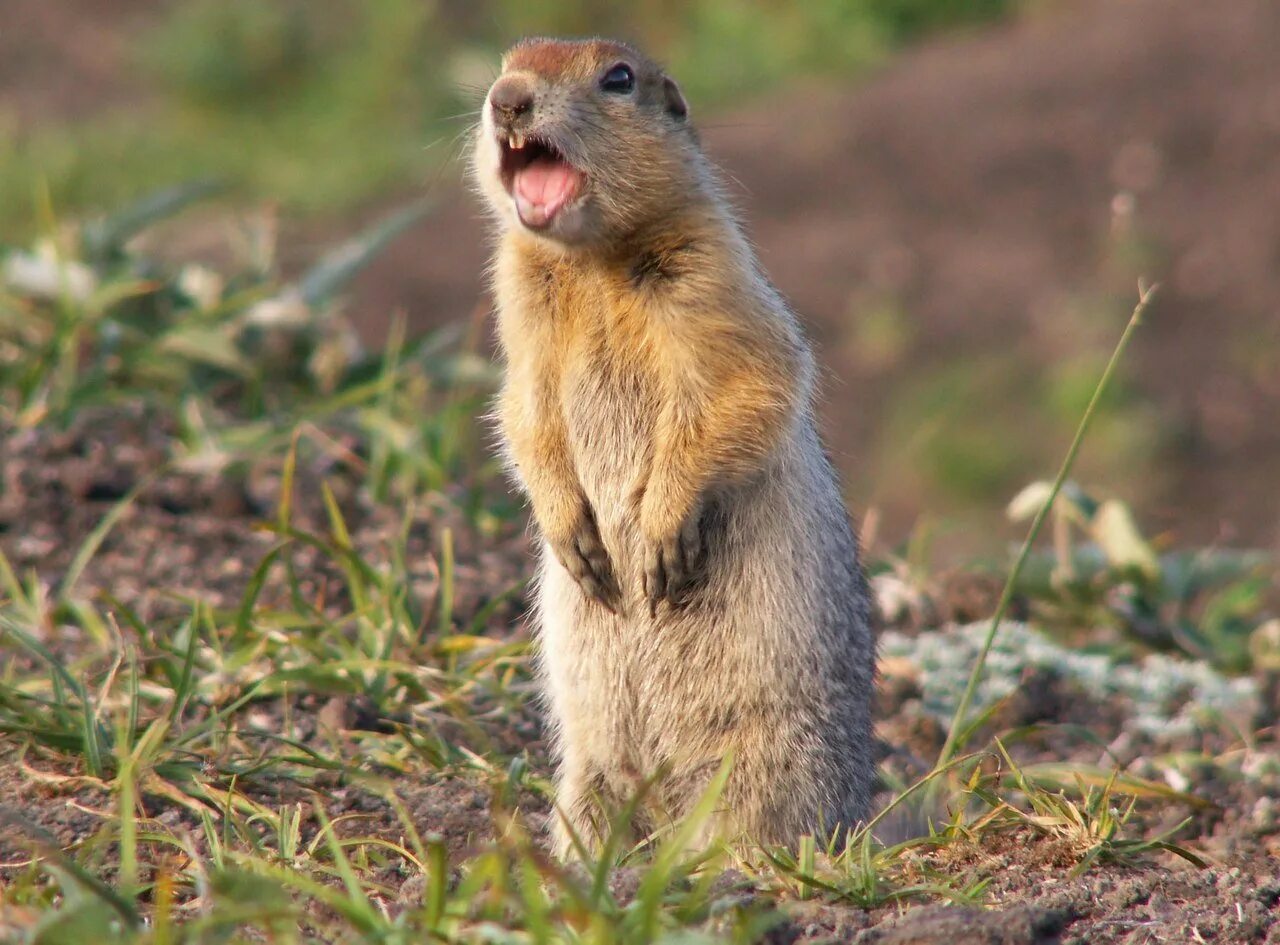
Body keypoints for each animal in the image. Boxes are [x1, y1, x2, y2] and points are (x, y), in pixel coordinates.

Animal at [476, 38, 875, 855]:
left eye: (618, 78)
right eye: (505, 59)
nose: (507, 98)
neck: (592, 259)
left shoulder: (710, 271)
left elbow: (749, 384)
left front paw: (660, 533)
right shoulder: (520, 306)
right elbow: (525, 411)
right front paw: (572, 534)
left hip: (765, 763)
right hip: (588, 768)